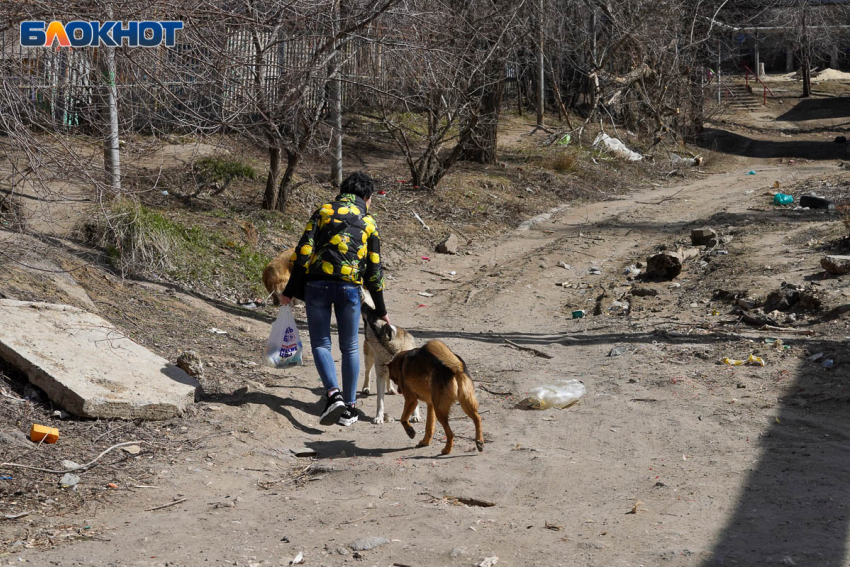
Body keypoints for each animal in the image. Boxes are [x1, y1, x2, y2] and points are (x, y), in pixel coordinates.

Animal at [362, 290, 420, 424]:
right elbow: (380, 402)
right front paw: (379, 417)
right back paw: (366, 387)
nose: (363, 304)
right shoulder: (380, 377)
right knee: (367, 372)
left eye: (373, 316)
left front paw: (415, 415)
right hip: (369, 358)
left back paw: (390, 388)